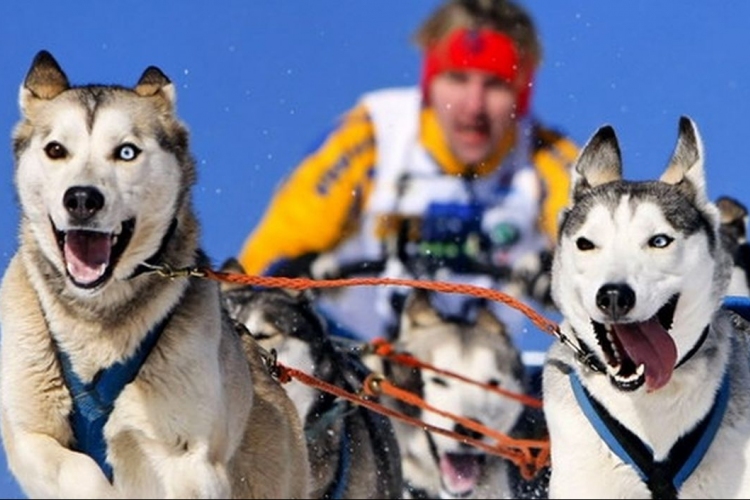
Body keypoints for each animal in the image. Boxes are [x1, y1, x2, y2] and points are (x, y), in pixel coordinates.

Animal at [0, 49, 312, 496]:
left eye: (127, 152)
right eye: (56, 149)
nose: (81, 198)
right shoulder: (31, 438)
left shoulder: (190, 457)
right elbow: (79, 470)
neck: (98, 322)